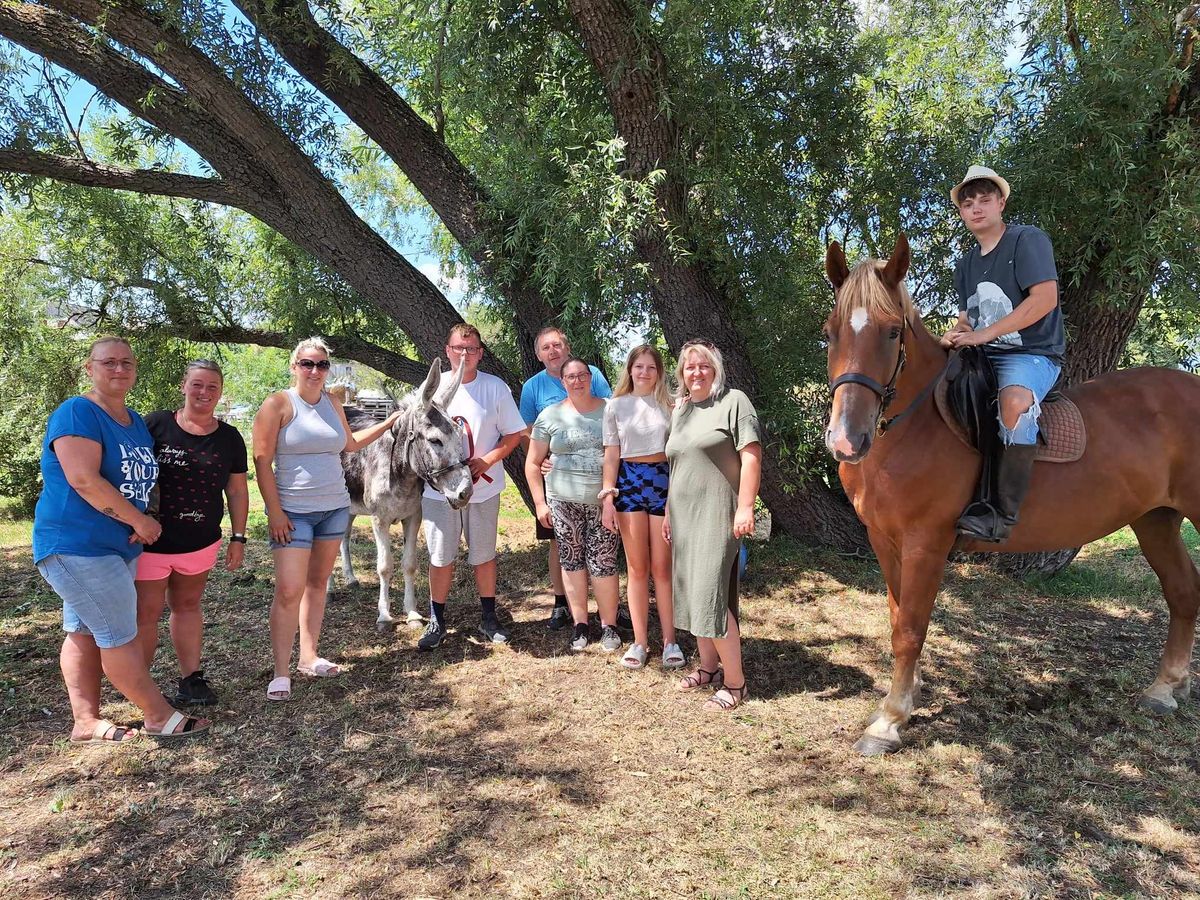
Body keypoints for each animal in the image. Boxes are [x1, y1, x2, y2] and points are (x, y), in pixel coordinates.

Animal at [825, 236, 1200, 758]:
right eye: (830, 333)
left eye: (892, 331)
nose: (846, 441)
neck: (911, 429)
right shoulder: (885, 540)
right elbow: (898, 617)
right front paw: (909, 695)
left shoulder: (926, 543)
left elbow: (910, 629)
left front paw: (889, 720)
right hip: (1156, 519)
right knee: (1183, 591)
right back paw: (1166, 687)